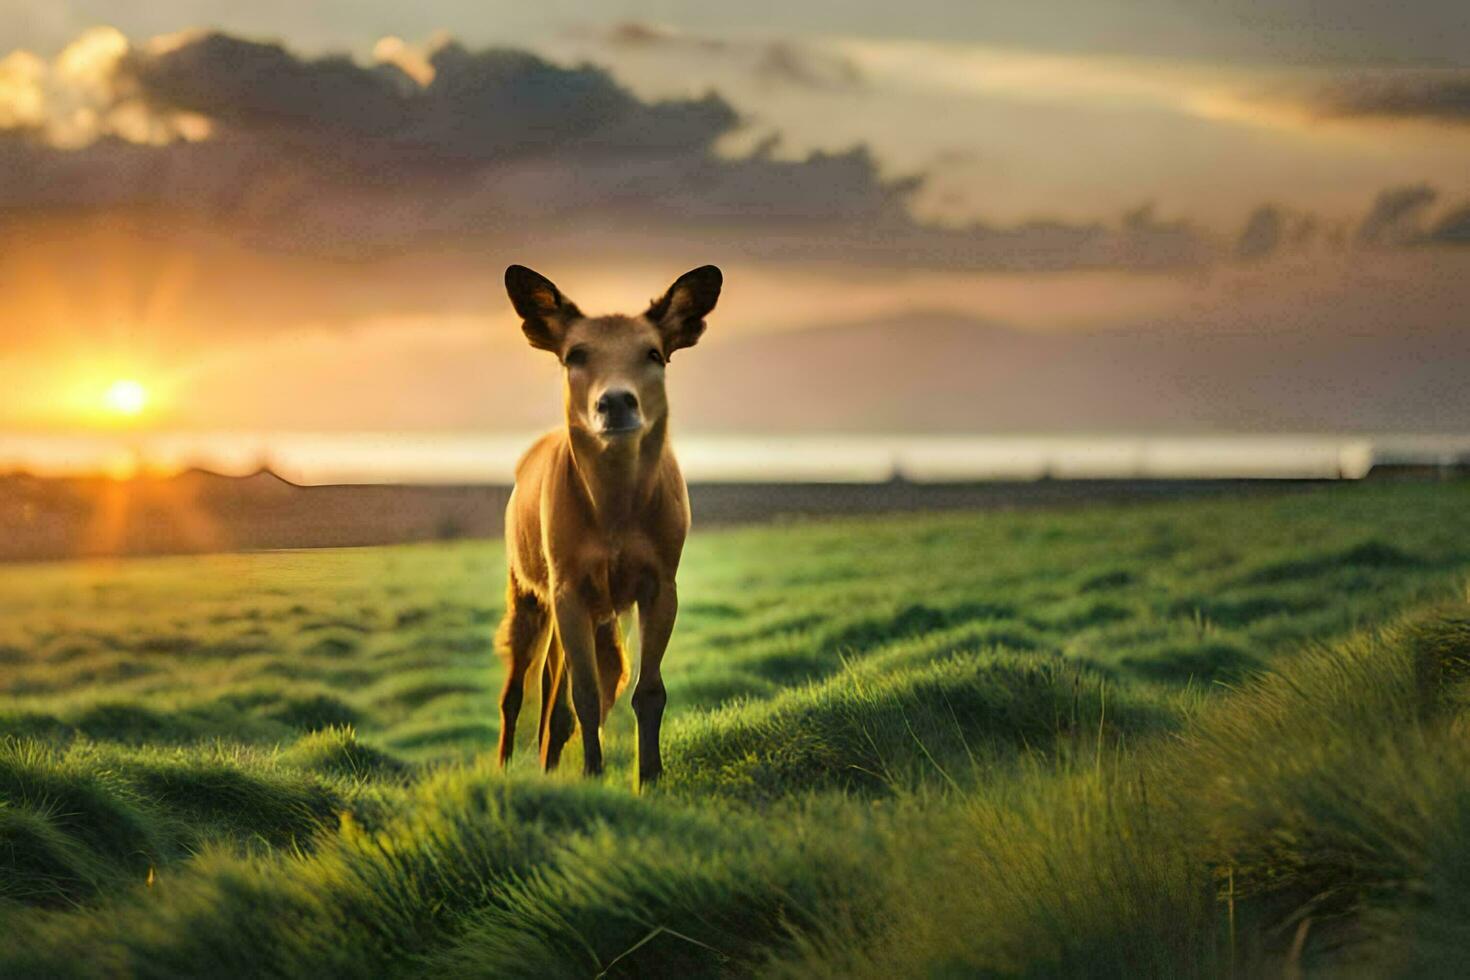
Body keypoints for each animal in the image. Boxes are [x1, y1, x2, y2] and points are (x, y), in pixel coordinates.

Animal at [493, 264, 723, 787]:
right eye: (575, 354)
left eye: (654, 353)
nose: (616, 402)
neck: (614, 518)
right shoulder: (568, 584)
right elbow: (584, 695)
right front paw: (593, 773)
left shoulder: (661, 580)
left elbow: (647, 690)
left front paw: (650, 778)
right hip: (526, 586)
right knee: (516, 690)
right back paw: (505, 767)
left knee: (553, 684)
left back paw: (548, 762)